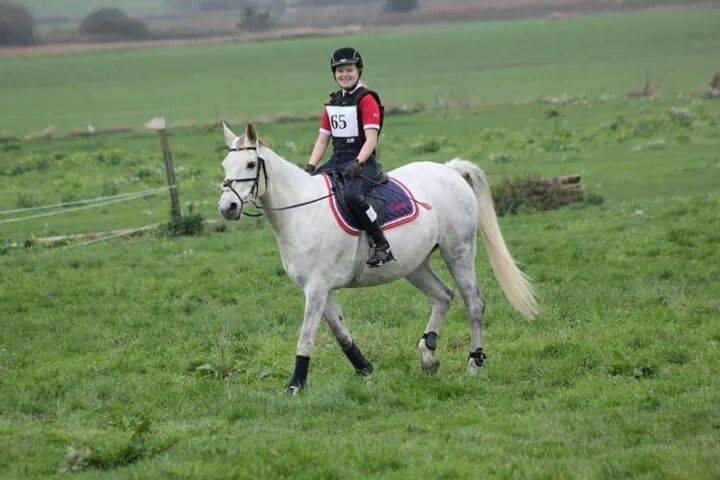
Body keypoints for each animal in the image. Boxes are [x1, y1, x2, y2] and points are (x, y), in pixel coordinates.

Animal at [217, 122, 536, 392]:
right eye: (224, 165)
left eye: (250, 164)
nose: (227, 207)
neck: (301, 212)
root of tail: (450, 170)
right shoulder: (320, 288)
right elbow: (340, 331)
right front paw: (364, 368)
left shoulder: (317, 288)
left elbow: (306, 336)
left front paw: (296, 384)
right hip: (414, 264)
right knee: (443, 296)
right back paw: (428, 356)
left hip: (459, 251)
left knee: (474, 304)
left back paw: (474, 362)